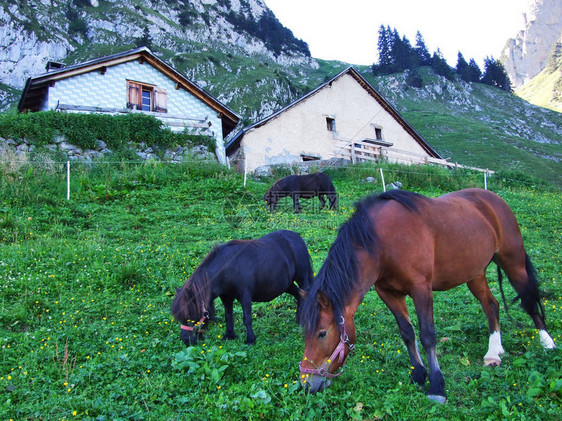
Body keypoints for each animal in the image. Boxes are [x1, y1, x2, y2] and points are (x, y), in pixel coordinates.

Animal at [168, 230, 312, 344]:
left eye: (190, 316)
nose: (186, 340)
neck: (226, 270)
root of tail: (297, 238)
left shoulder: (245, 296)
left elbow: (247, 318)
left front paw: (250, 340)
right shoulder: (226, 297)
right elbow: (228, 316)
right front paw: (229, 335)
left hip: (302, 279)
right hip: (287, 284)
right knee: (299, 296)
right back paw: (299, 321)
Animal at [298, 188, 552, 400]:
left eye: (322, 333)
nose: (307, 384)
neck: (382, 242)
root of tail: (494, 200)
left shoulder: (421, 289)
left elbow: (427, 335)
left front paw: (437, 386)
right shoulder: (388, 293)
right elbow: (407, 333)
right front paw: (418, 375)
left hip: (513, 262)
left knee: (529, 300)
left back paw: (547, 342)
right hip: (475, 273)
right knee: (491, 305)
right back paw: (494, 352)